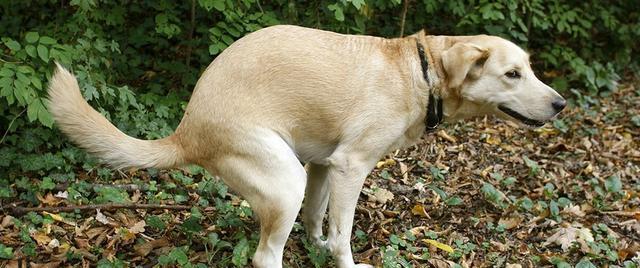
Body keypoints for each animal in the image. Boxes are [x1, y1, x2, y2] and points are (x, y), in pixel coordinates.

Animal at [46, 24, 564, 266]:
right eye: (512, 74)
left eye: (529, 69)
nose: (560, 104)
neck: (418, 72)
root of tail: (187, 130)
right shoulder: (351, 167)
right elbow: (344, 235)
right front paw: (342, 259)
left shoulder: (323, 166)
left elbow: (320, 221)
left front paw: (316, 247)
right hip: (284, 180)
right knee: (264, 256)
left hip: (296, 173)